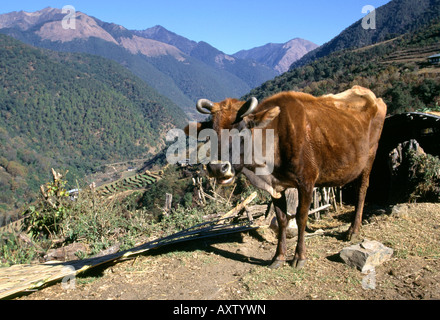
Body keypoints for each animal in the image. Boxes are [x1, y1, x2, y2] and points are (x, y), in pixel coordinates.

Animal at [184, 85, 386, 268]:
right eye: (210, 133)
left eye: (241, 130)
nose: (217, 168)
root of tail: (370, 94)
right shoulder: (276, 186)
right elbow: (281, 220)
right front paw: (278, 257)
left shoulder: (307, 181)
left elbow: (301, 217)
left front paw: (299, 257)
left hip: (370, 156)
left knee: (362, 190)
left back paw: (353, 230)